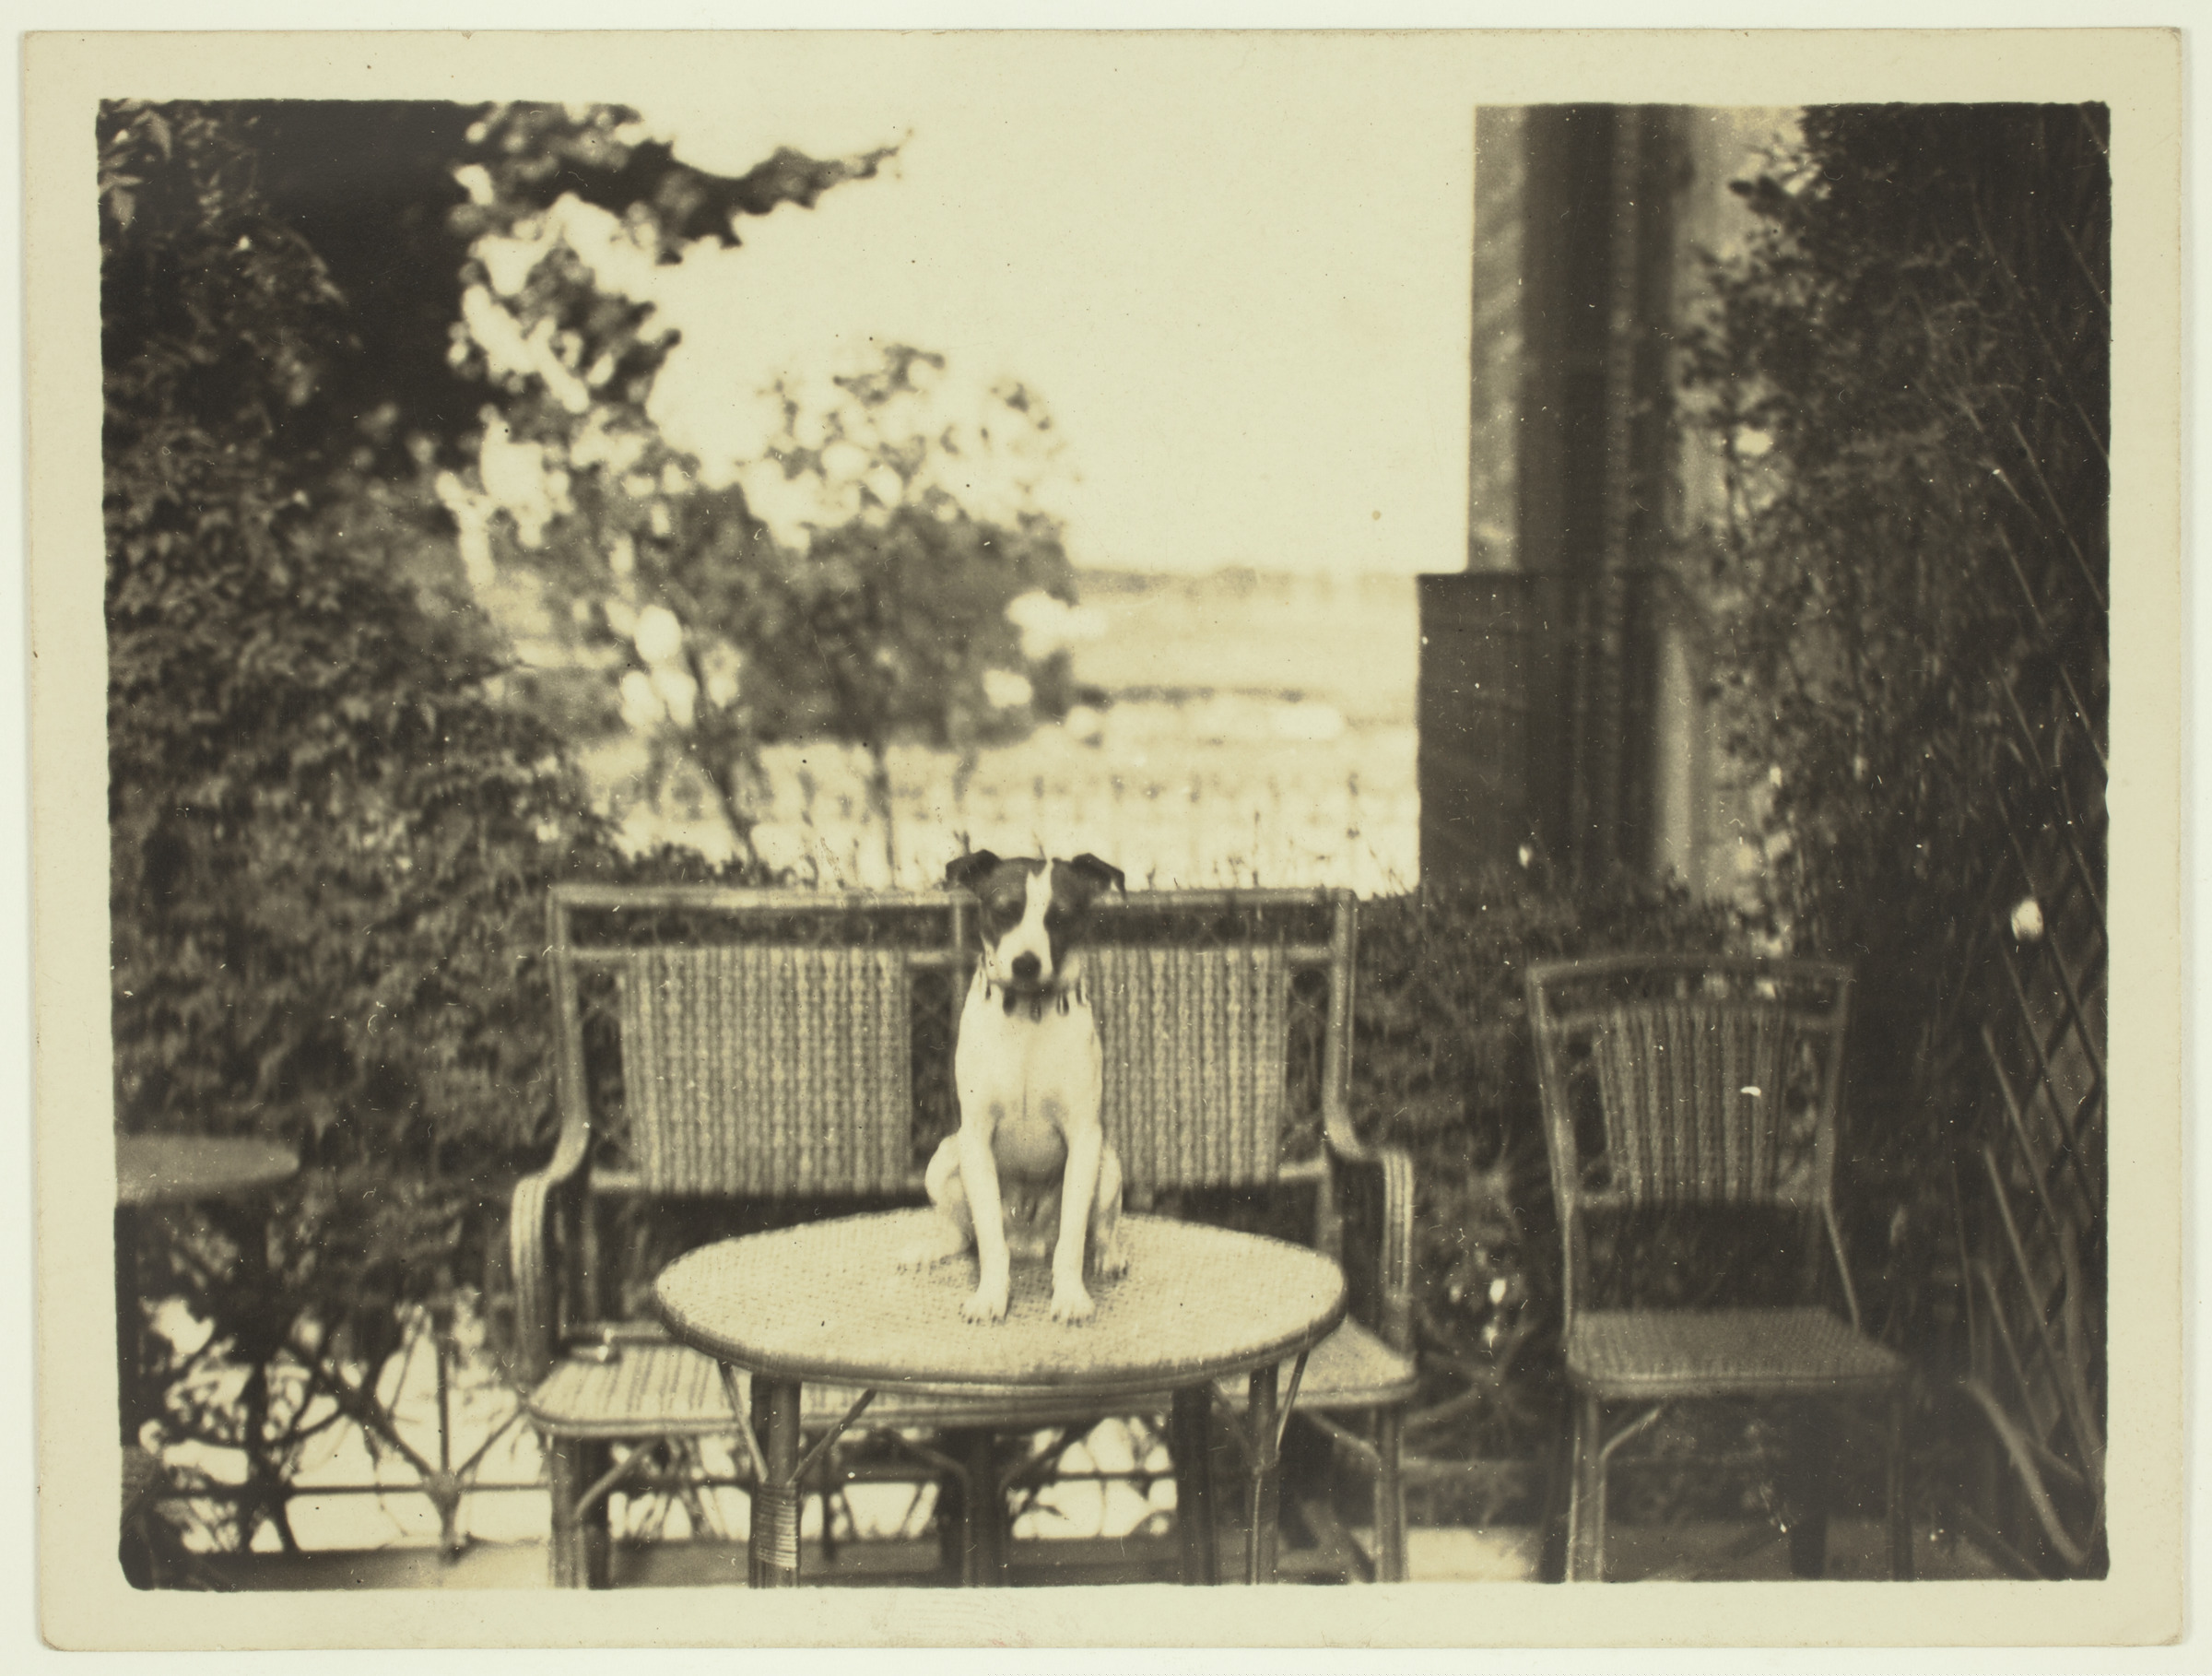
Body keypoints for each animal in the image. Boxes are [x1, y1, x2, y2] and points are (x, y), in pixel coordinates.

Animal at [899, 851, 1129, 1324]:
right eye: (1005, 910)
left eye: (1060, 917)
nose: (1026, 963)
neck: (1029, 1016)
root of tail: (1029, 1241)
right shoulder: (976, 1137)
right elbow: (988, 1236)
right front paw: (991, 1297)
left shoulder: (1084, 1138)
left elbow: (1073, 1237)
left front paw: (1070, 1296)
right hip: (942, 1160)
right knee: (962, 1235)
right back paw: (930, 1249)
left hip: (1108, 1164)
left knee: (1101, 1228)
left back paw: (1109, 1255)